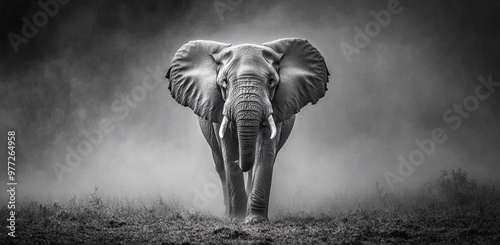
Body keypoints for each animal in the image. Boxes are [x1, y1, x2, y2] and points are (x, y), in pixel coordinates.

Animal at [166, 38, 330, 224]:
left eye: (271, 81)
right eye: (224, 82)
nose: (240, 161)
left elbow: (265, 153)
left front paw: (255, 220)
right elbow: (228, 153)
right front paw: (236, 219)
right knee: (220, 164)